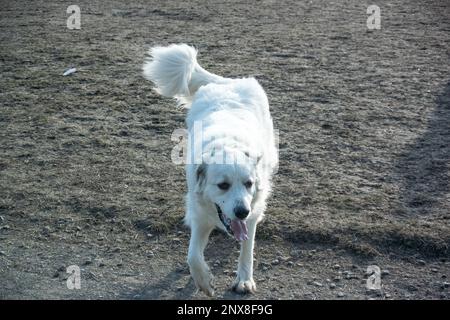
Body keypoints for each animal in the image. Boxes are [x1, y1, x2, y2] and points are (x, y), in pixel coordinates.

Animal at [143, 43, 278, 296]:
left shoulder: (252, 212)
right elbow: (193, 256)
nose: (241, 212)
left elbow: (247, 249)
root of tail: (228, 82)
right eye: (223, 185)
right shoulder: (198, 213)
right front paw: (204, 281)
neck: (228, 145)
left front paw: (244, 279)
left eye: (249, 184)